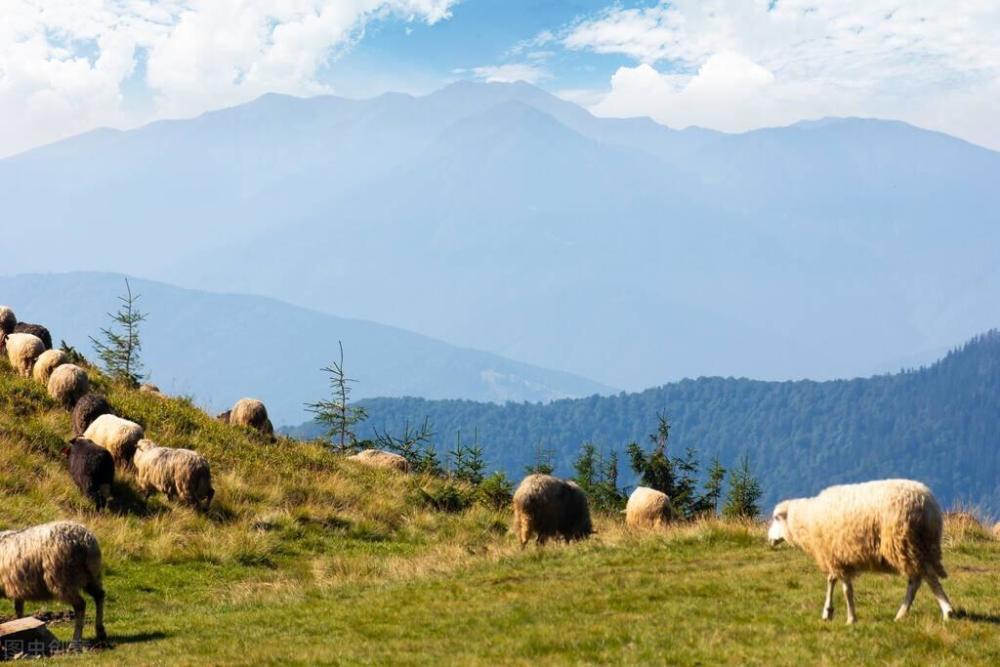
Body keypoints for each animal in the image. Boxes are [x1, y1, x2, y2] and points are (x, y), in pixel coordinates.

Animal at [768, 480, 956, 628]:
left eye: (776, 518)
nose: (768, 539)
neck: (807, 520)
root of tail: (929, 505)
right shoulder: (836, 556)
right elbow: (831, 580)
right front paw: (828, 612)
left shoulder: (836, 556)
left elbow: (846, 590)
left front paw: (851, 618)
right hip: (918, 546)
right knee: (917, 579)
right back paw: (902, 614)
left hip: (904, 542)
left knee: (926, 577)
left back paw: (947, 611)